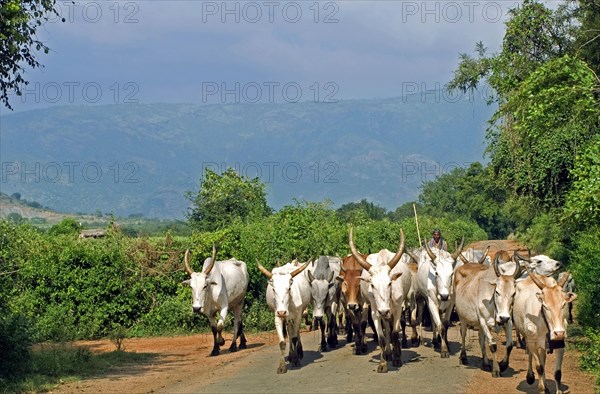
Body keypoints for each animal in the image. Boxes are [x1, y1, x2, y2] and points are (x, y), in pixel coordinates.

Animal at [350, 228, 410, 372]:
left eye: (390, 283)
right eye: (372, 285)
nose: (384, 311)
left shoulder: (398, 309)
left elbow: (395, 333)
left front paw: (397, 358)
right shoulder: (375, 311)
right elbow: (382, 337)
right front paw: (383, 363)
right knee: (386, 328)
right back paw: (388, 352)